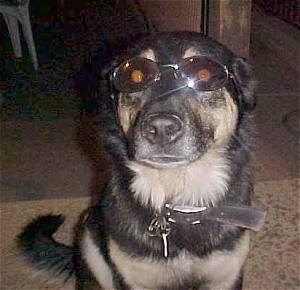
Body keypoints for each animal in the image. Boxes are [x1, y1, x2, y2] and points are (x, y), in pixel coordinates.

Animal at [17, 30, 264, 288]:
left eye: (204, 74)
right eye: (135, 75)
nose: (161, 128)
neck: (176, 196)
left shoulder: (226, 275)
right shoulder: (132, 278)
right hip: (88, 237)